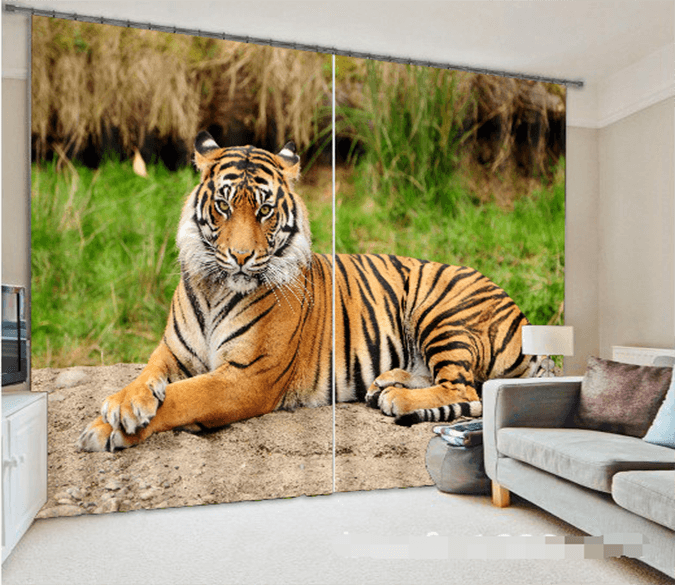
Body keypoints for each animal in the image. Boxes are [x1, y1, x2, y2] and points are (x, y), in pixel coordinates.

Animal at [77, 130, 540, 452]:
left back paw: (396, 399)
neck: (214, 287)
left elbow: (182, 397)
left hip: (440, 311)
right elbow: (146, 377)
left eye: (264, 209)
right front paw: (123, 404)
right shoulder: (172, 352)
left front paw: (105, 428)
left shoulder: (247, 375)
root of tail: (520, 313)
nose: (240, 256)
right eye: (224, 206)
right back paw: (386, 382)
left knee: (465, 389)